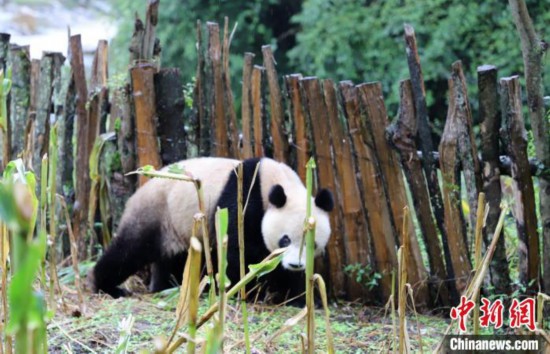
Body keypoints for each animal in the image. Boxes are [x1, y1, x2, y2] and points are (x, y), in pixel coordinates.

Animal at [88, 158, 334, 304]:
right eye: (285, 240)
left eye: (313, 244)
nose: (295, 265)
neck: (273, 181)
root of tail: (140, 190)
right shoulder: (243, 199)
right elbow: (240, 251)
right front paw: (248, 291)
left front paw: (300, 297)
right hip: (156, 211)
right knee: (130, 250)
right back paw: (106, 286)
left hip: (179, 226)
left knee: (174, 259)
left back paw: (167, 287)